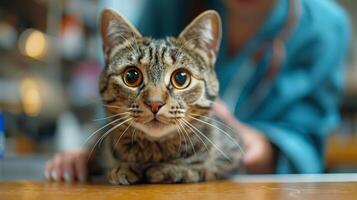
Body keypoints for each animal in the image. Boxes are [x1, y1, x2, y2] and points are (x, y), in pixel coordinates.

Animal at [96, 9, 243, 184]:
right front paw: (124, 167)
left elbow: (206, 168)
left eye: (181, 78)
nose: (155, 103)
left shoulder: (234, 153)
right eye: (131, 76)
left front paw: (173, 170)